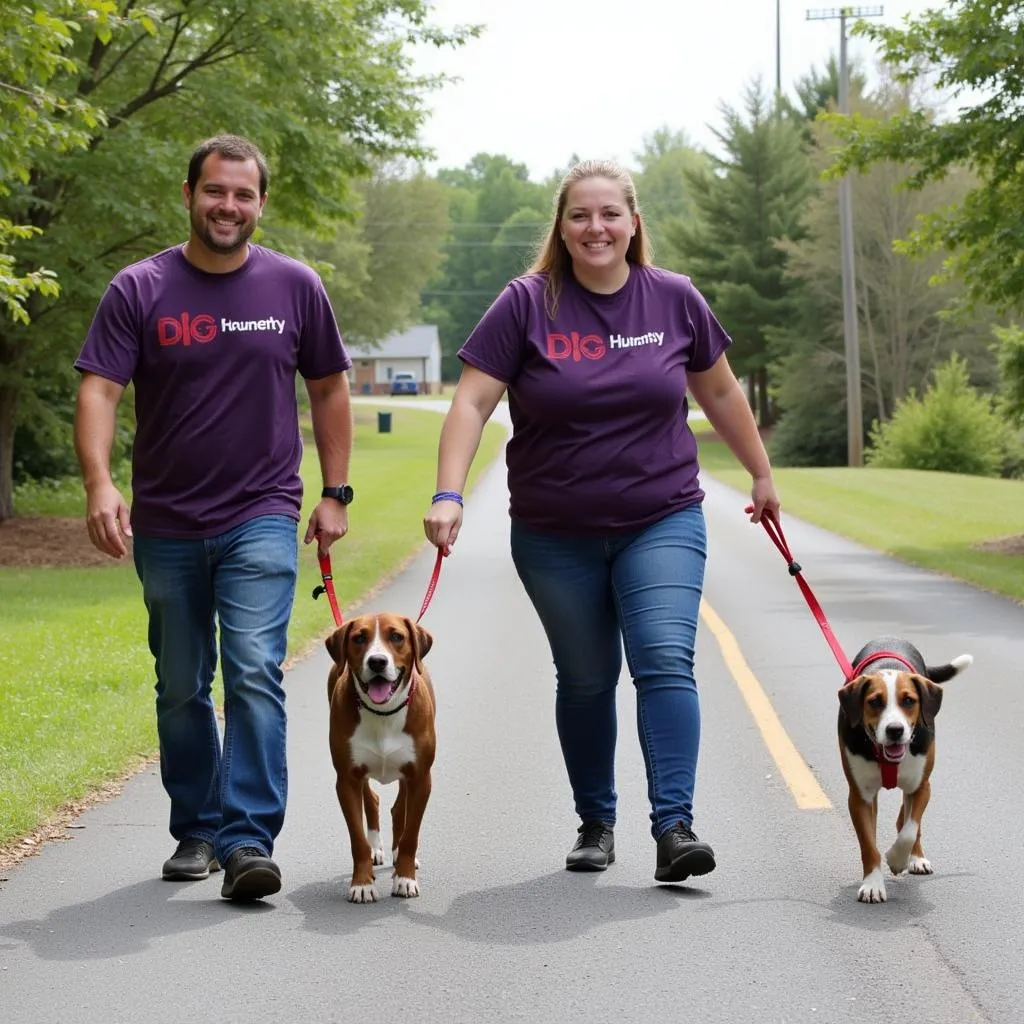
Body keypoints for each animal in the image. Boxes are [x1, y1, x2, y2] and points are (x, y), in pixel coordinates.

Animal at [325, 610, 434, 901]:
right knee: (371, 799)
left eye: (396, 636)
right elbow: (357, 838)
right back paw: (377, 848)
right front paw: (362, 883)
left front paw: (405, 878)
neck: (383, 713)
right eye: (359, 638)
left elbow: (411, 833)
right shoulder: (346, 779)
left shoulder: (421, 777)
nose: (377, 661)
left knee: (399, 809)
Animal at [835, 634, 970, 901]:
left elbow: (909, 830)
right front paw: (873, 883)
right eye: (874, 702)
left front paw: (898, 859)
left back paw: (916, 858)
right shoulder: (860, 796)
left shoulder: (921, 786)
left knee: (908, 822)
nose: (895, 730)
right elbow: (868, 843)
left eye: (908, 701)